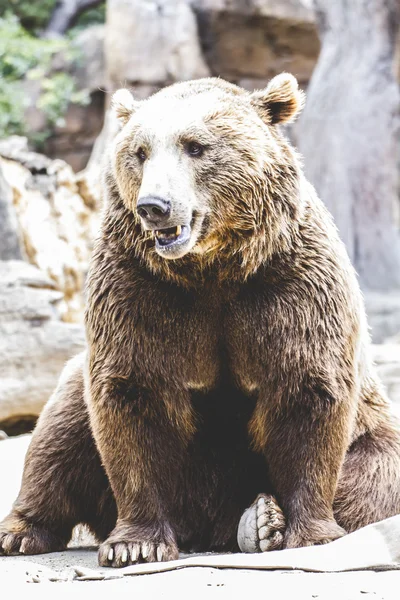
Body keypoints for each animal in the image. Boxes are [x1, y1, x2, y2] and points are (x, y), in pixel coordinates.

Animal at [0, 75, 400, 568]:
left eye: (195, 146)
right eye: (140, 152)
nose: (155, 205)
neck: (212, 268)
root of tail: (207, 527)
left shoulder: (289, 285)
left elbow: (308, 391)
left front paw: (312, 534)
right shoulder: (140, 289)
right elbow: (132, 394)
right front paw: (136, 544)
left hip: (374, 431)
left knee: (374, 480)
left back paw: (261, 521)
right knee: (61, 431)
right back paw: (21, 532)